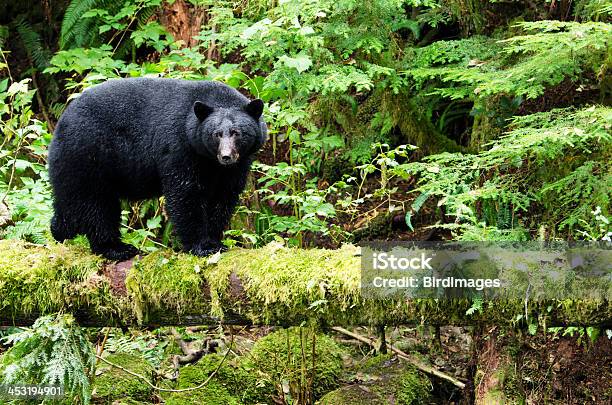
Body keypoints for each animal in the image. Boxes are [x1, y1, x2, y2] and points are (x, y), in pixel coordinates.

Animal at [49, 77, 266, 260]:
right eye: (216, 134)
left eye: (237, 133)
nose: (226, 156)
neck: (209, 160)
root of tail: (62, 121)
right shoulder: (179, 147)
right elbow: (185, 194)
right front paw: (201, 246)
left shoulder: (236, 166)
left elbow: (223, 196)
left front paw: (215, 241)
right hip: (88, 154)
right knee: (97, 206)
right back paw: (116, 248)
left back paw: (58, 230)